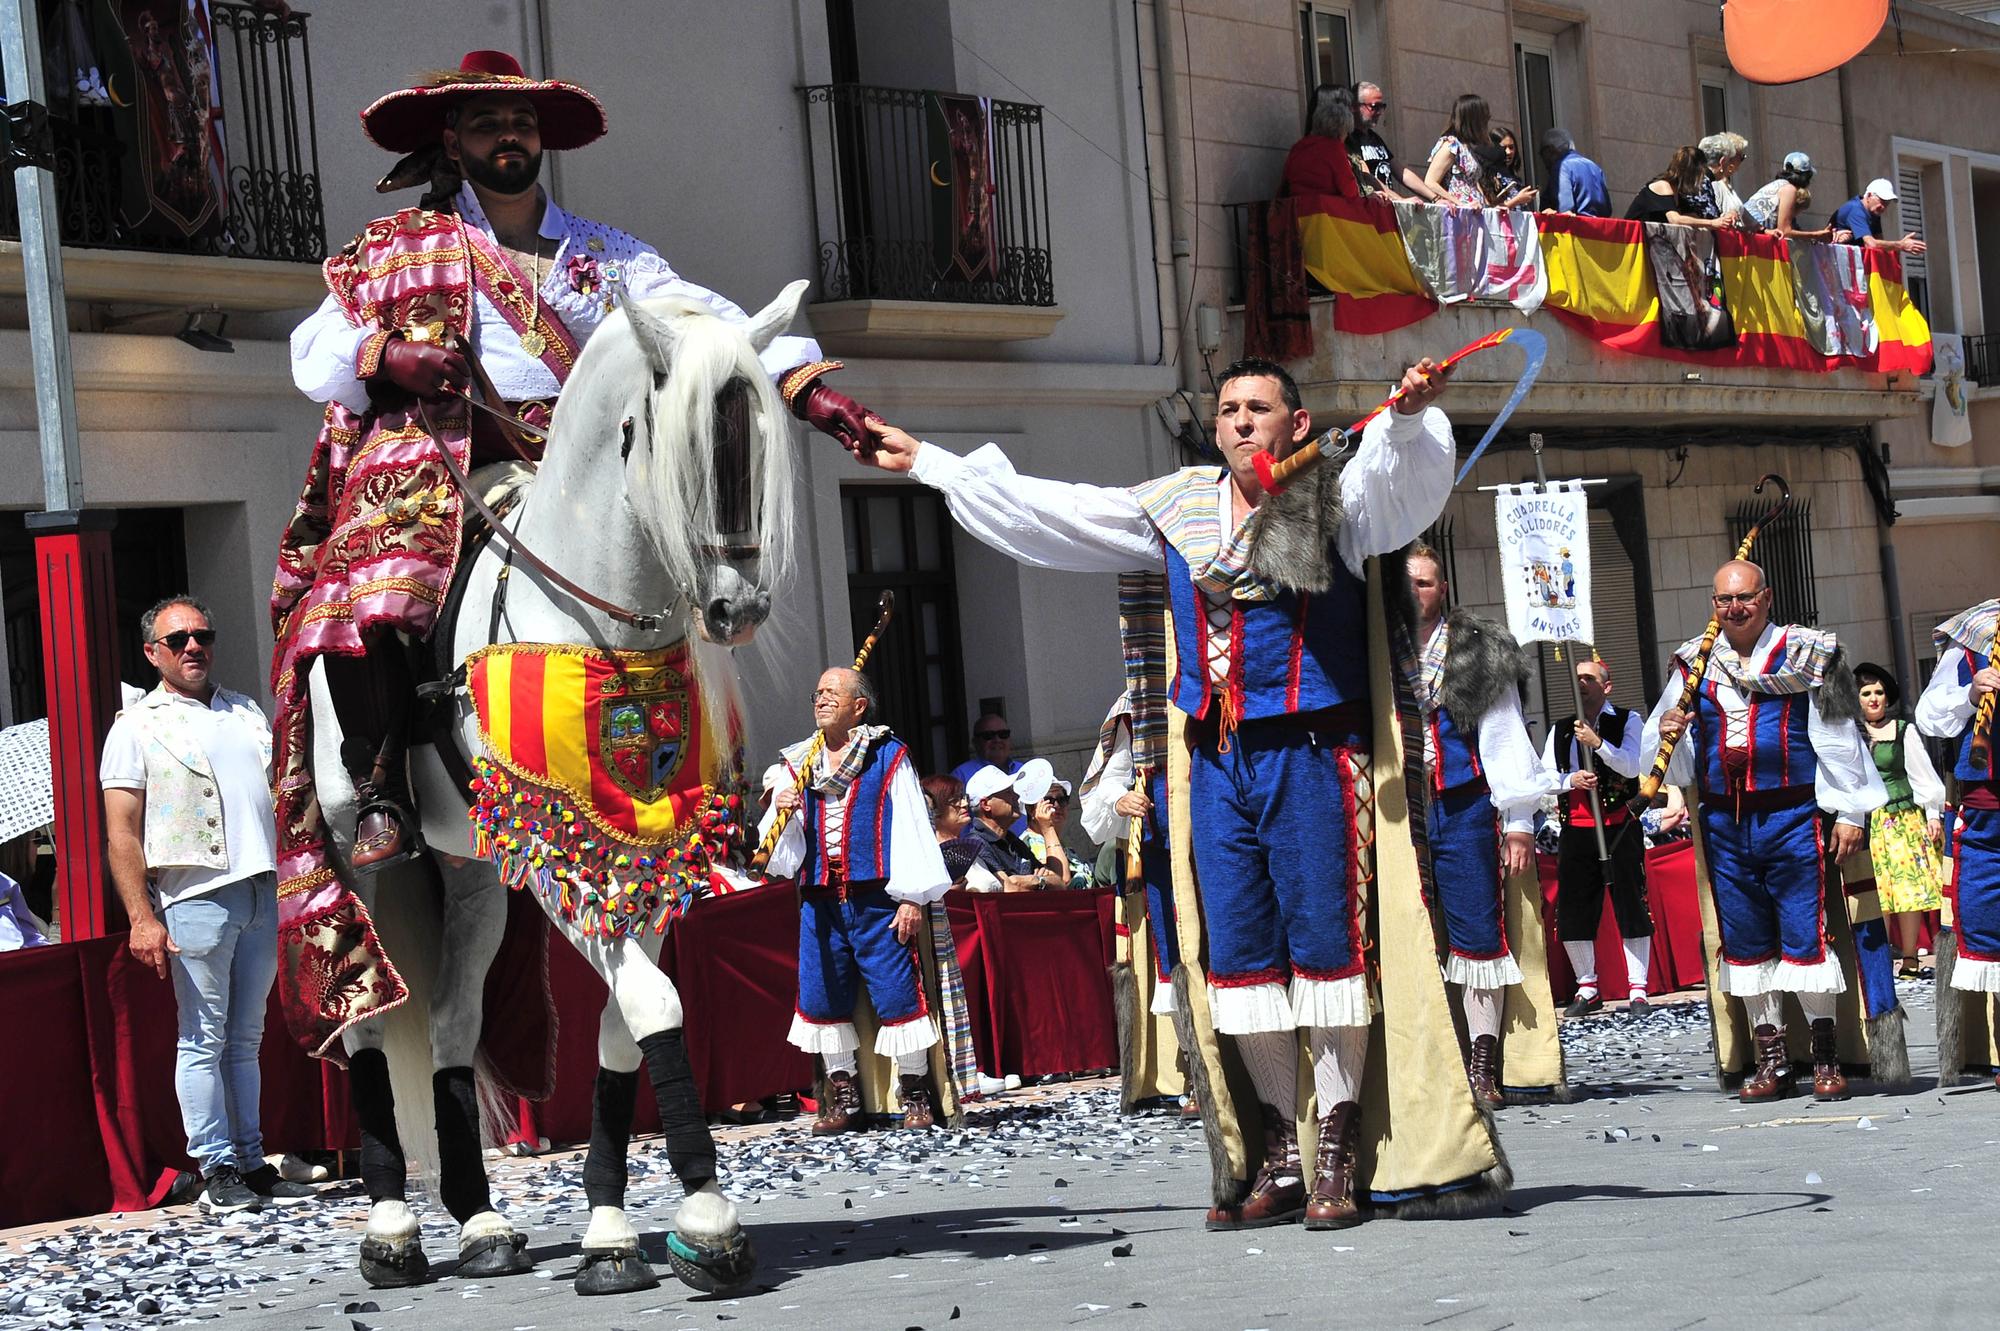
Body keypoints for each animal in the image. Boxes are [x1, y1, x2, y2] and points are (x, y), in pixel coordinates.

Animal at [308, 281, 808, 1295]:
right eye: (685, 441)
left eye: (757, 437)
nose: (736, 609)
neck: (589, 619)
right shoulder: (559, 854)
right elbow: (654, 1003)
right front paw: (707, 1219)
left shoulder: (638, 853)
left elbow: (623, 1024)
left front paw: (616, 1229)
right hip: (356, 858)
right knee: (365, 1021)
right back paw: (390, 1229)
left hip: (472, 876)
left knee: (451, 1021)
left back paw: (481, 1220)